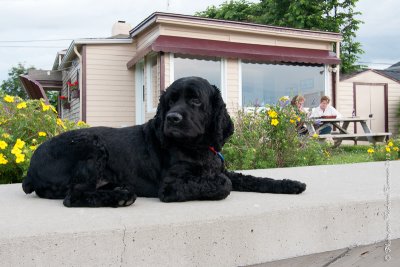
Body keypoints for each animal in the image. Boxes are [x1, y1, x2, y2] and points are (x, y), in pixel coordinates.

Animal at [22, 76, 306, 208]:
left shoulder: (222, 168)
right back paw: (121, 196)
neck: (198, 147)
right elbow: (222, 184)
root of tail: (31, 170)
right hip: (91, 143)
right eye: (170, 101)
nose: (172, 118)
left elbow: (255, 179)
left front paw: (292, 184)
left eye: (195, 100)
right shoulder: (171, 185)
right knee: (74, 196)